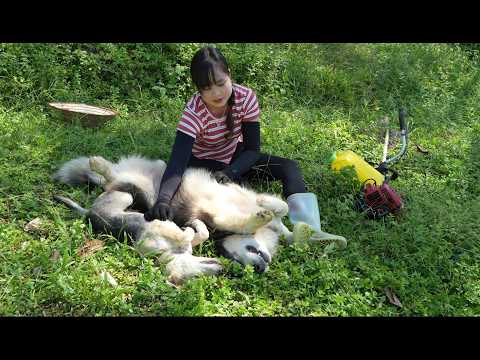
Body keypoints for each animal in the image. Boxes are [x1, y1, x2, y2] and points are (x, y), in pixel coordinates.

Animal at [51, 156, 308, 282]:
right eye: (233, 257)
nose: (258, 269)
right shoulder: (218, 210)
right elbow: (275, 209)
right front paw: (264, 210)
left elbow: (287, 225)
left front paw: (302, 230)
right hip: (138, 186)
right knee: (110, 175)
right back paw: (98, 164)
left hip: (136, 183)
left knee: (115, 177)